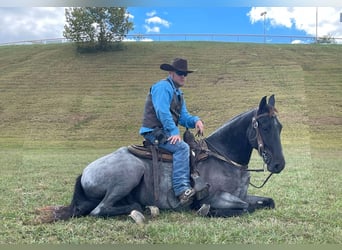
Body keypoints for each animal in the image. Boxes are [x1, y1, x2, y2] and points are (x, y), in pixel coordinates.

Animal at [36, 95, 284, 223]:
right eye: (263, 126)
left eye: (279, 126)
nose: (279, 164)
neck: (224, 158)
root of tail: (85, 172)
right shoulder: (216, 197)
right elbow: (244, 207)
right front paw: (207, 211)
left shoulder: (244, 195)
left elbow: (268, 202)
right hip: (129, 173)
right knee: (100, 210)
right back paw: (140, 211)